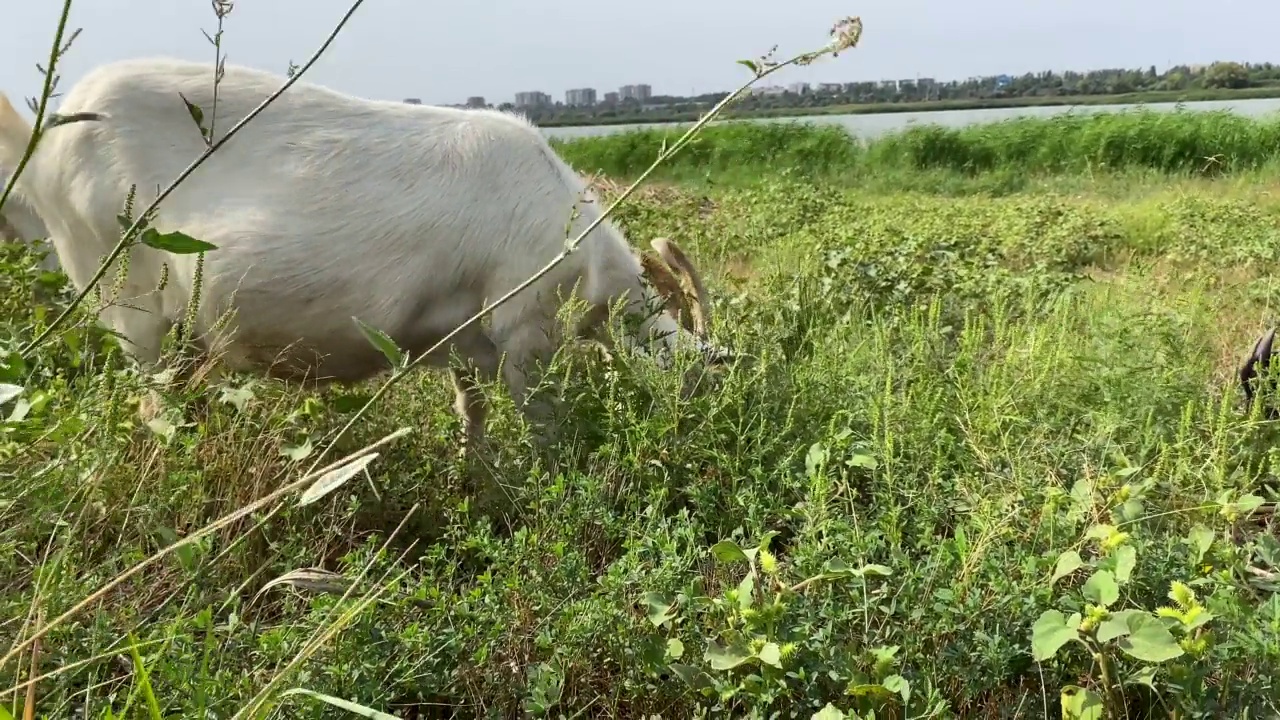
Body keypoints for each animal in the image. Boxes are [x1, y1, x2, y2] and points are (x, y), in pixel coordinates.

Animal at [0, 57, 721, 443]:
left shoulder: (463, 339)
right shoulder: (522, 322)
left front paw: (480, 485)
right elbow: (540, 420)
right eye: (702, 378)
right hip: (122, 289)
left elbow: (472, 413)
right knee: (149, 398)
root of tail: (43, 147)